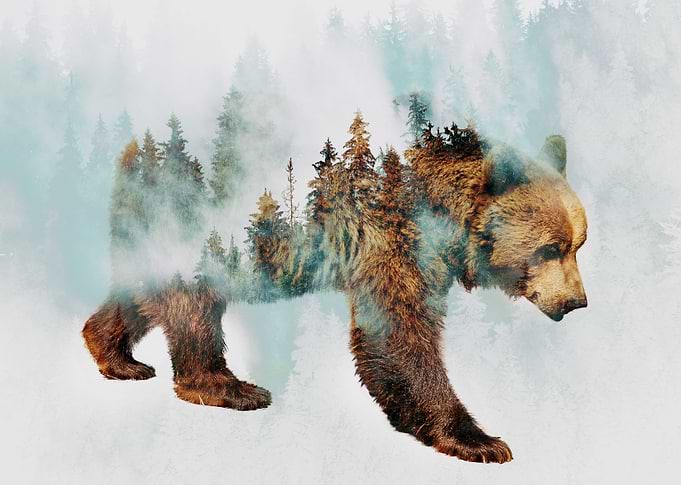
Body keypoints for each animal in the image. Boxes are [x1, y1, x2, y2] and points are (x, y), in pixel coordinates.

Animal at [82, 125, 587, 464]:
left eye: (579, 244)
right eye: (550, 248)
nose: (576, 302)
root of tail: (131, 150)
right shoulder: (393, 238)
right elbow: (397, 334)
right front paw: (479, 440)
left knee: (143, 294)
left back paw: (115, 356)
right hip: (194, 225)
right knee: (192, 304)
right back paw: (228, 386)